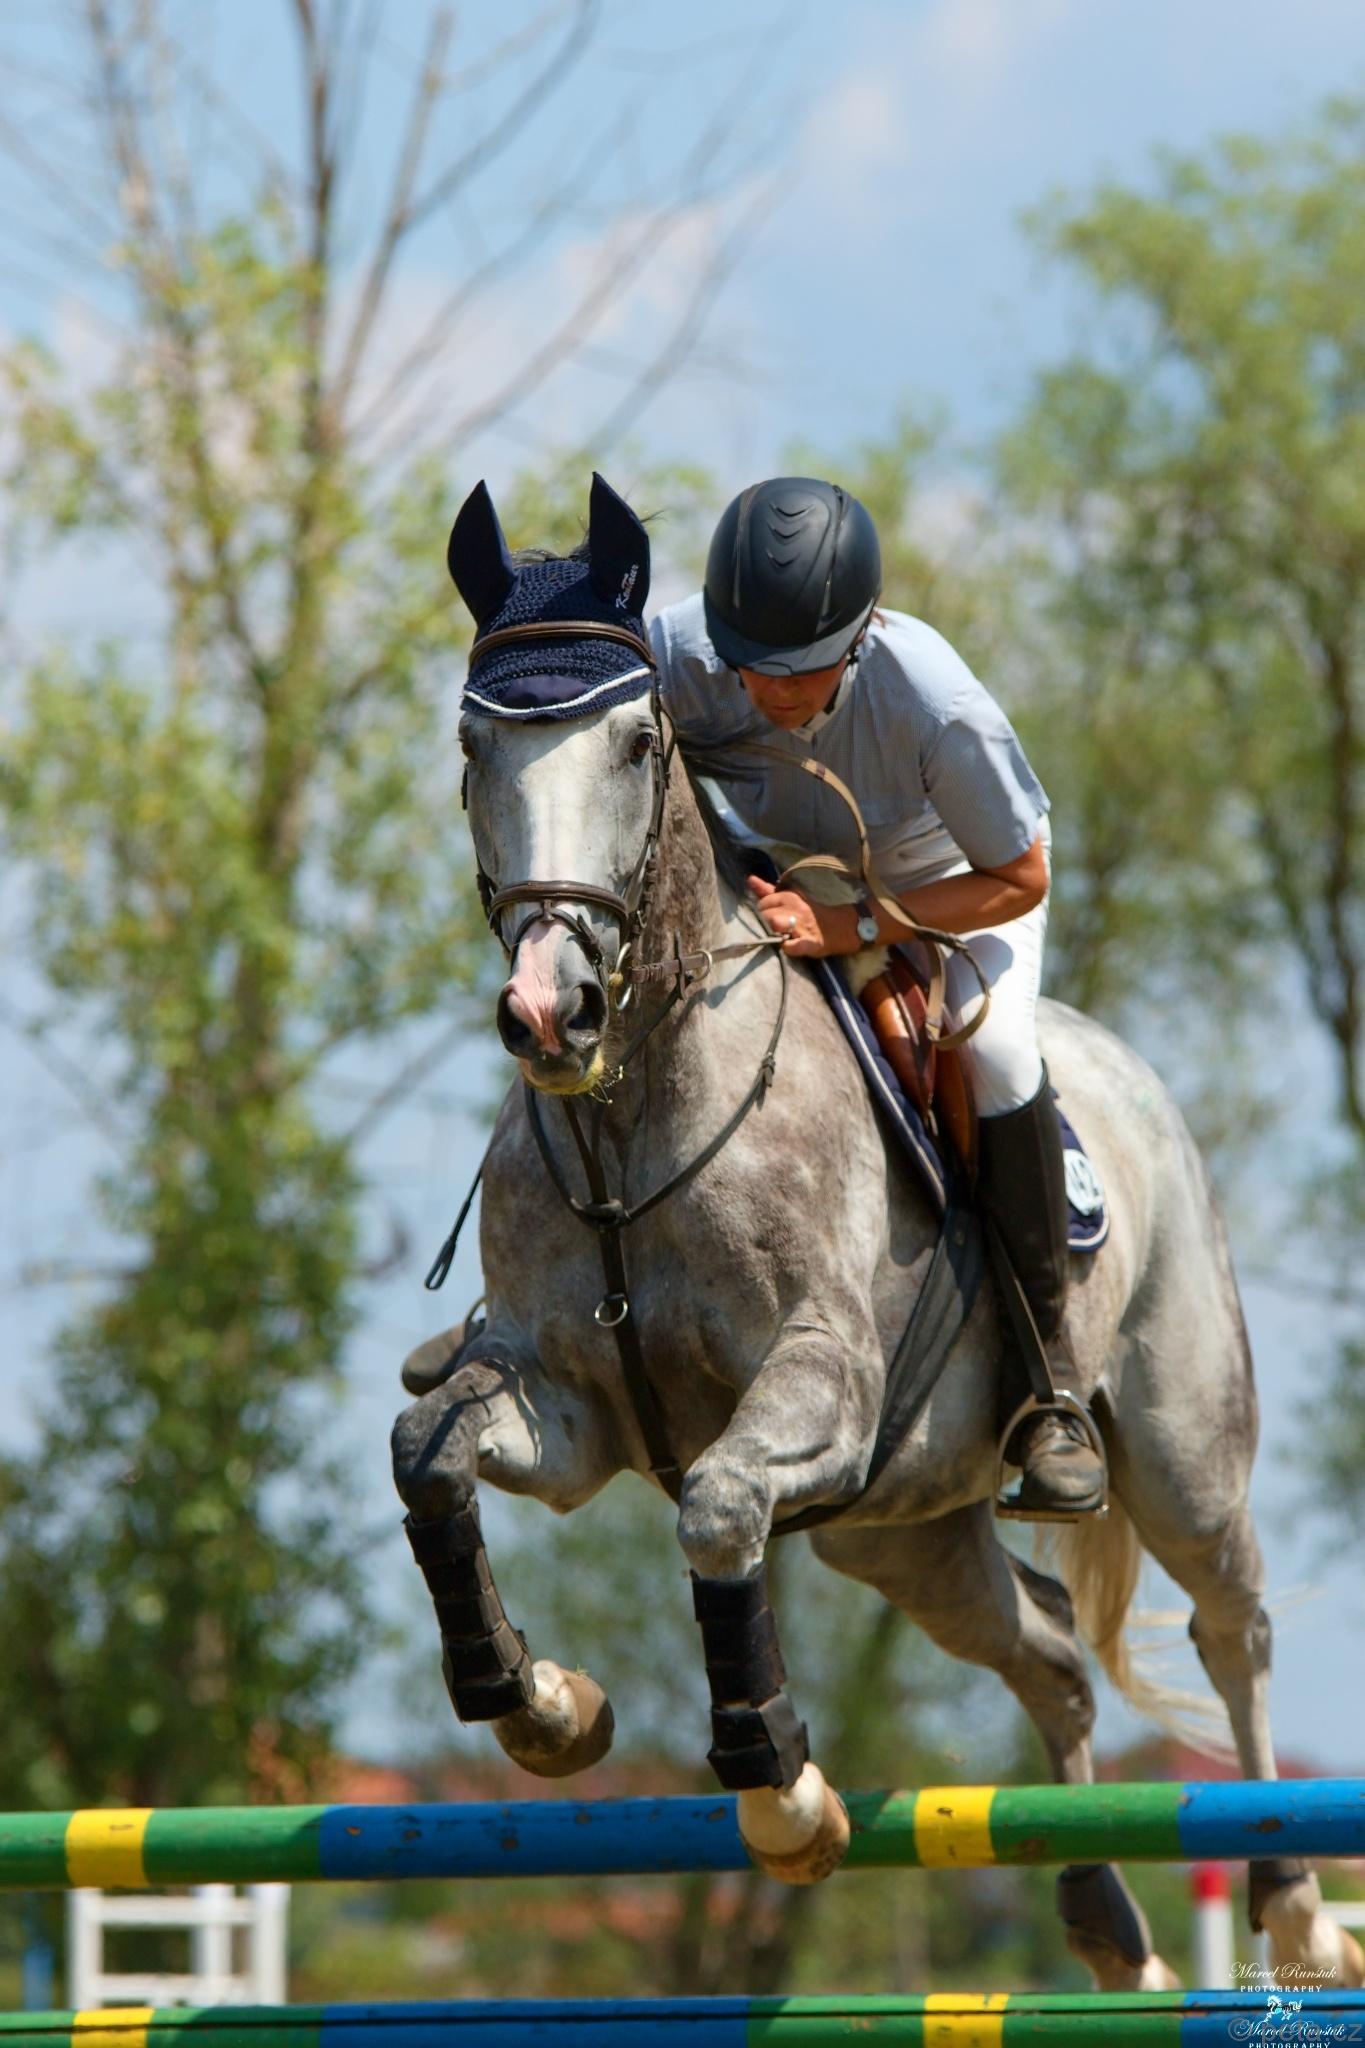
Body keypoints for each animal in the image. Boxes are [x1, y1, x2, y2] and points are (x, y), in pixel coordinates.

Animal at [391, 473, 1362, 1991]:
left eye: (635, 741)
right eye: (473, 742)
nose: (553, 1012)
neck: (637, 1113)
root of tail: (1131, 1076)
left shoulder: (824, 1386)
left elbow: (719, 1507)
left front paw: (784, 1794)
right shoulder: (568, 1407)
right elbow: (427, 1453)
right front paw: (543, 1703)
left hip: (1177, 1441)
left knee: (1230, 1622)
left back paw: (1293, 1899)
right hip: (900, 1531)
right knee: (1046, 1648)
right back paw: (1105, 1922)